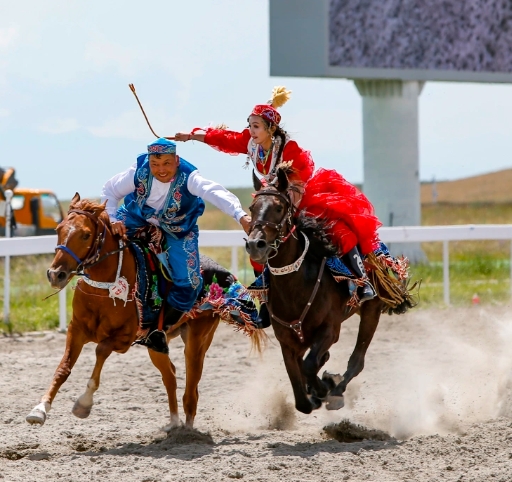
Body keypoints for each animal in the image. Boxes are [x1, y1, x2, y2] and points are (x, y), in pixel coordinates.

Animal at [26, 195, 260, 430]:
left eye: (85, 234)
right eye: (58, 229)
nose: (55, 274)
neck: (105, 288)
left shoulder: (123, 339)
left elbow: (101, 350)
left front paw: (84, 404)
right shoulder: (77, 330)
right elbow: (63, 368)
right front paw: (39, 410)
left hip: (197, 339)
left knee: (191, 387)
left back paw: (187, 428)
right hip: (156, 345)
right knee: (171, 376)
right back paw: (173, 423)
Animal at [246, 169, 414, 414]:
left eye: (278, 207)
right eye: (252, 207)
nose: (255, 245)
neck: (295, 285)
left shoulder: (329, 329)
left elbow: (309, 366)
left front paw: (325, 388)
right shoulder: (286, 340)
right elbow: (301, 396)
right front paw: (315, 390)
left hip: (371, 309)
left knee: (357, 361)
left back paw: (336, 390)